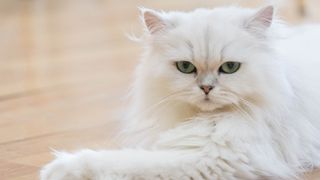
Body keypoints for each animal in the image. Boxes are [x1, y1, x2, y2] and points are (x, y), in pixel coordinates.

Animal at [40, 4, 320, 179]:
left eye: (230, 67)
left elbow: (127, 161)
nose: (206, 88)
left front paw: (58, 169)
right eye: (185, 67)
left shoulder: (212, 157)